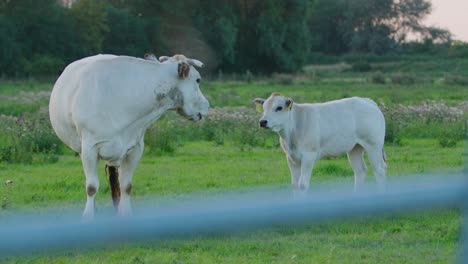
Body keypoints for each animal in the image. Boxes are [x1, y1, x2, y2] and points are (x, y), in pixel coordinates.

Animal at [49, 53, 208, 219]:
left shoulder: (136, 148)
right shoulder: (89, 148)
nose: (207, 105)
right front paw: (88, 216)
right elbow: (91, 187)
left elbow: (126, 185)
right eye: (198, 79)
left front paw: (125, 213)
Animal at [254, 94, 386, 193]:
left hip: (373, 145)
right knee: (360, 170)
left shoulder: (309, 155)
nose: (262, 122)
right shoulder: (291, 158)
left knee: (379, 170)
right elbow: (295, 185)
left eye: (279, 108)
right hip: (355, 148)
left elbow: (302, 185)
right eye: (264, 108)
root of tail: (367, 100)